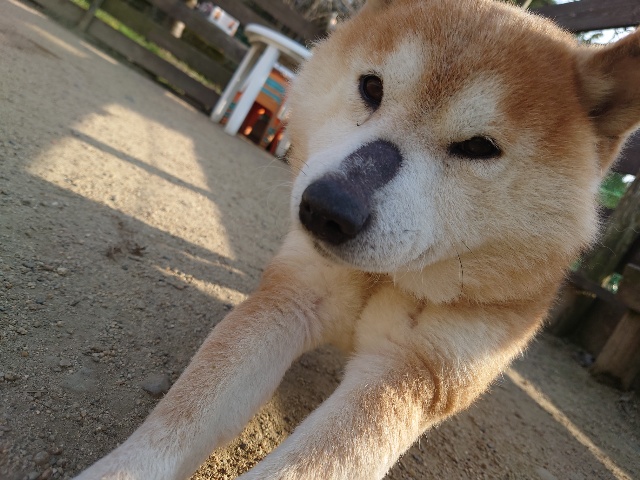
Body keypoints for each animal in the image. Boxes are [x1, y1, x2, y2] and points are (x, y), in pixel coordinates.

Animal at [75, 0, 640, 478]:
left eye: (479, 146)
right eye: (372, 87)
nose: (327, 210)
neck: (382, 277)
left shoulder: (413, 374)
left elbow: (321, 458)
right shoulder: (291, 297)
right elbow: (185, 416)